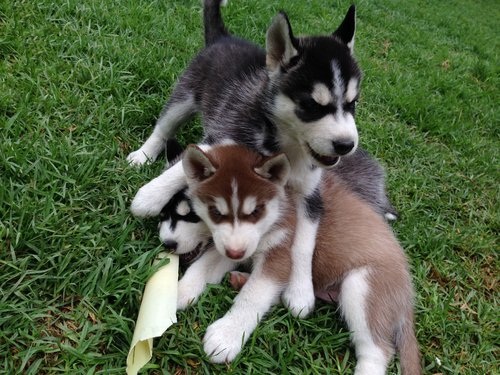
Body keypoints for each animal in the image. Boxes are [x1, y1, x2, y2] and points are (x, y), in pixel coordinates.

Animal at [129, 0, 366, 318]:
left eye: (352, 103)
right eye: (311, 105)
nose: (346, 145)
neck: (286, 145)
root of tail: (224, 38)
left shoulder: (310, 195)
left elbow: (304, 243)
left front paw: (300, 291)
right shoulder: (226, 134)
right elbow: (188, 164)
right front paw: (150, 196)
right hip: (185, 94)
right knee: (164, 126)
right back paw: (144, 154)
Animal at [178, 144, 420, 375]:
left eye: (256, 211)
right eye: (215, 212)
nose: (235, 254)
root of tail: (407, 291)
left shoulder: (280, 254)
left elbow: (254, 295)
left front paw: (228, 334)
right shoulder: (231, 244)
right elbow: (202, 266)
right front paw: (179, 291)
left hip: (363, 287)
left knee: (378, 350)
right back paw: (242, 279)